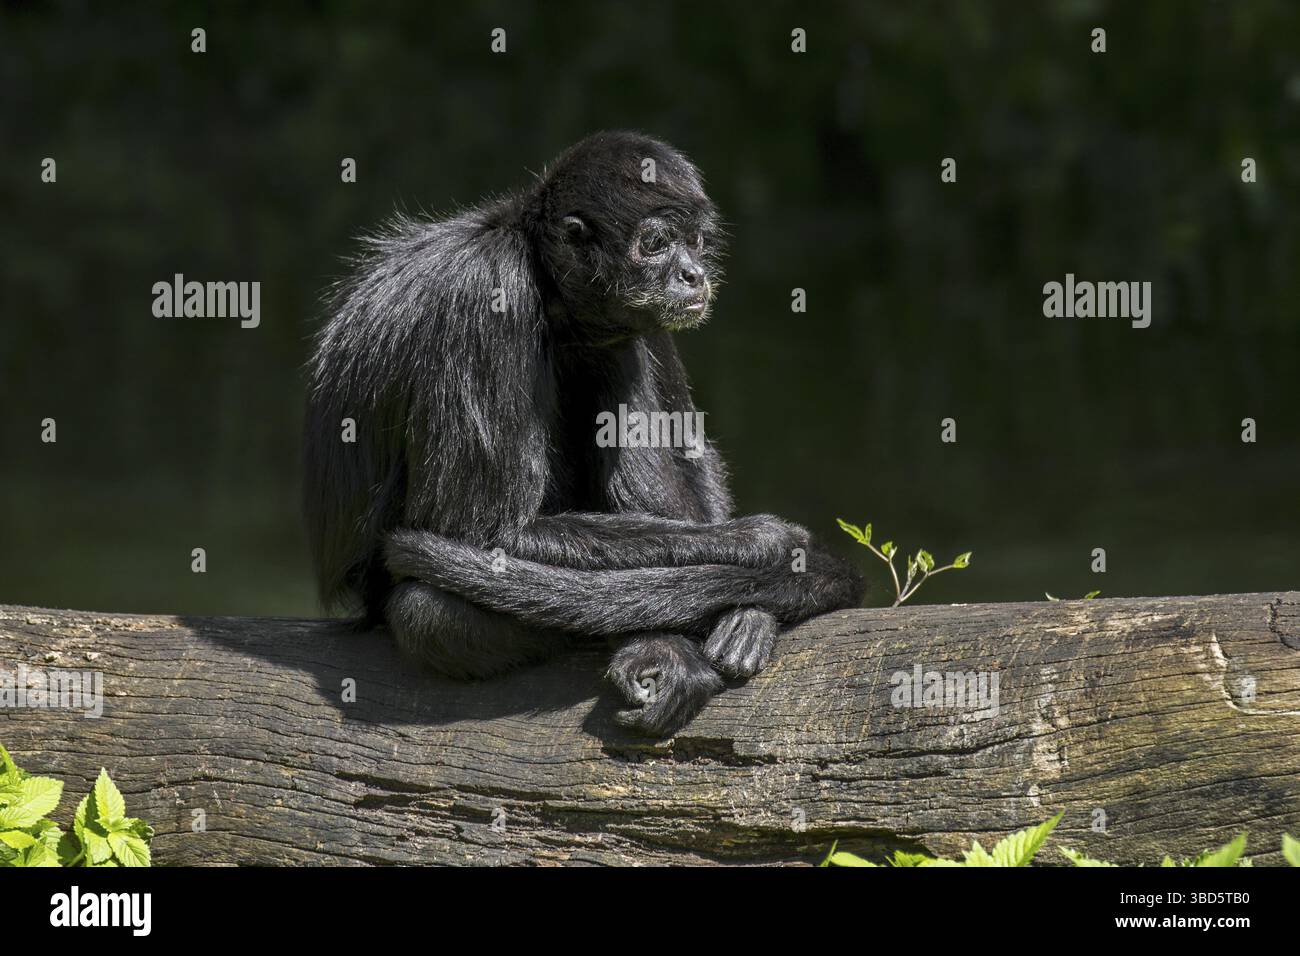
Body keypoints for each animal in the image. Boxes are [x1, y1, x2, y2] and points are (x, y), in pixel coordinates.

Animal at [303, 131, 863, 737]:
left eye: (693, 243)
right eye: (657, 244)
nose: (693, 274)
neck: (543, 284)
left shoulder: (646, 316)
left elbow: (693, 450)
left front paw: (755, 609)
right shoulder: (488, 295)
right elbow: (483, 533)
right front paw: (758, 540)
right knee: (428, 613)